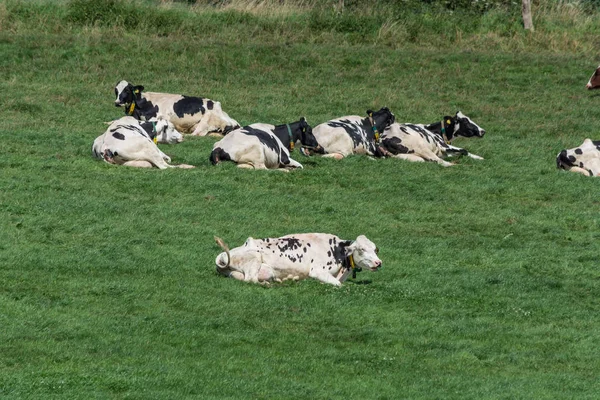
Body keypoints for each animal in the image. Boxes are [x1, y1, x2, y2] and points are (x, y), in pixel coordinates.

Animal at [213, 233, 382, 286]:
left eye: (375, 249)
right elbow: (338, 285)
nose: (378, 263)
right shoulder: (318, 271)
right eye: (362, 249)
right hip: (254, 259)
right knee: (251, 279)